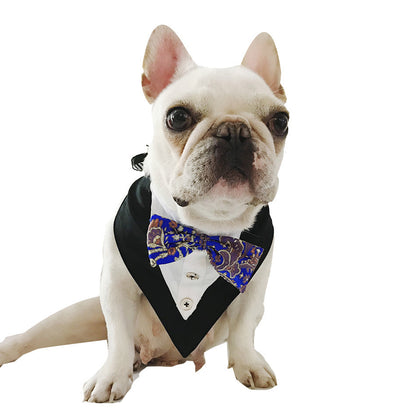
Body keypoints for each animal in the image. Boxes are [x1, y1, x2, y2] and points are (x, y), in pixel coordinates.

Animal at [0, 25, 290, 404]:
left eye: (280, 121)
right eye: (178, 117)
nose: (236, 131)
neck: (204, 229)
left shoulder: (252, 289)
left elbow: (243, 331)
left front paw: (248, 364)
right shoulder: (116, 288)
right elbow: (120, 339)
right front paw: (112, 377)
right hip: (78, 315)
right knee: (39, 335)